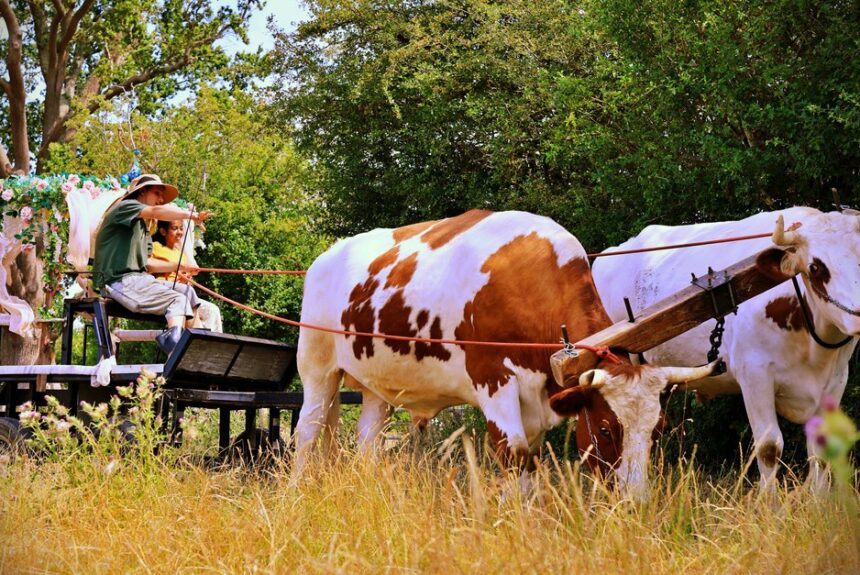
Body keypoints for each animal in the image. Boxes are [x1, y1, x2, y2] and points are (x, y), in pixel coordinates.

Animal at [293, 210, 718, 497]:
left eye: (658, 430)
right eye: (604, 428)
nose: (634, 504)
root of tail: (326, 257)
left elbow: (529, 461)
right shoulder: (493, 379)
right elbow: (513, 453)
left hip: (375, 385)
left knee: (367, 441)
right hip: (318, 367)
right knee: (307, 432)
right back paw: (297, 492)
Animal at [592, 207, 860, 490]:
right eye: (815, 266)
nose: (859, 316)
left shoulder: (836, 380)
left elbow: (820, 453)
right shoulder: (755, 376)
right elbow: (769, 448)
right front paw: (769, 501)